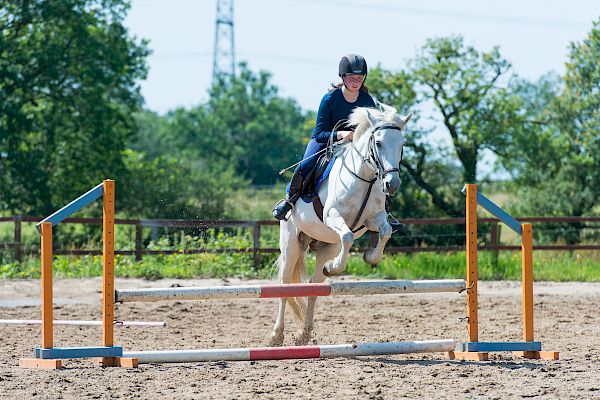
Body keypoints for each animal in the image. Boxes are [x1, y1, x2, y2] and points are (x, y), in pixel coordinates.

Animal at [270, 104, 410, 346]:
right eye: (378, 143)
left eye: (401, 145)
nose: (392, 184)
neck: (366, 178)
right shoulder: (333, 216)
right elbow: (347, 236)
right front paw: (336, 267)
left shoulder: (375, 219)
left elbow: (385, 232)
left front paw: (369, 257)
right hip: (291, 243)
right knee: (285, 284)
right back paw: (277, 336)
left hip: (327, 245)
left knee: (315, 284)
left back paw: (304, 334)